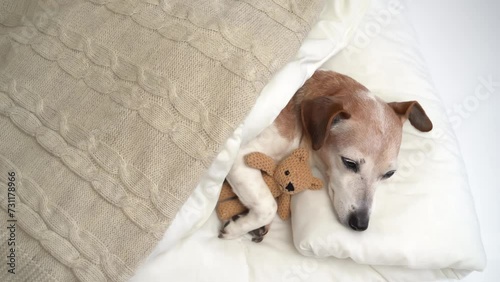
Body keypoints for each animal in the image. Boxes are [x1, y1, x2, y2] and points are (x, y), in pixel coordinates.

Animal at [220, 70, 434, 240]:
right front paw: (236, 229)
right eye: (349, 163)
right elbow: (268, 206)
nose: (360, 224)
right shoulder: (239, 156)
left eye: (389, 174)